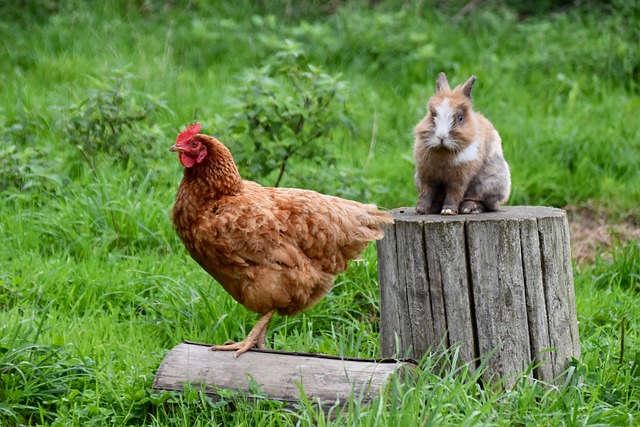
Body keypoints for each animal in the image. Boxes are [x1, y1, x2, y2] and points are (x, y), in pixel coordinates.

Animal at [416, 72, 510, 217]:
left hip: (489, 183)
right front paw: (421, 209)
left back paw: (469, 208)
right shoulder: (426, 176)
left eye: (460, 118)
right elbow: (426, 193)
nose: (441, 136)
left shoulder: (459, 178)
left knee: (483, 203)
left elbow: (454, 194)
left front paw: (448, 211)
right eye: (433, 116)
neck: (443, 151)